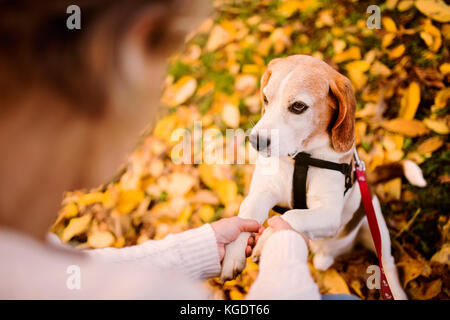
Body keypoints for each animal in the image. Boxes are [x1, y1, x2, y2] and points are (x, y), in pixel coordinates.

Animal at [220, 55, 424, 300]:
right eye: (266, 99)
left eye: (298, 106)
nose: (255, 141)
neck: (302, 158)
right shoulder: (263, 192)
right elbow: (247, 216)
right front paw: (233, 254)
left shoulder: (328, 214)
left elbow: (291, 217)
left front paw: (267, 238)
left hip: (377, 228)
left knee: (388, 263)